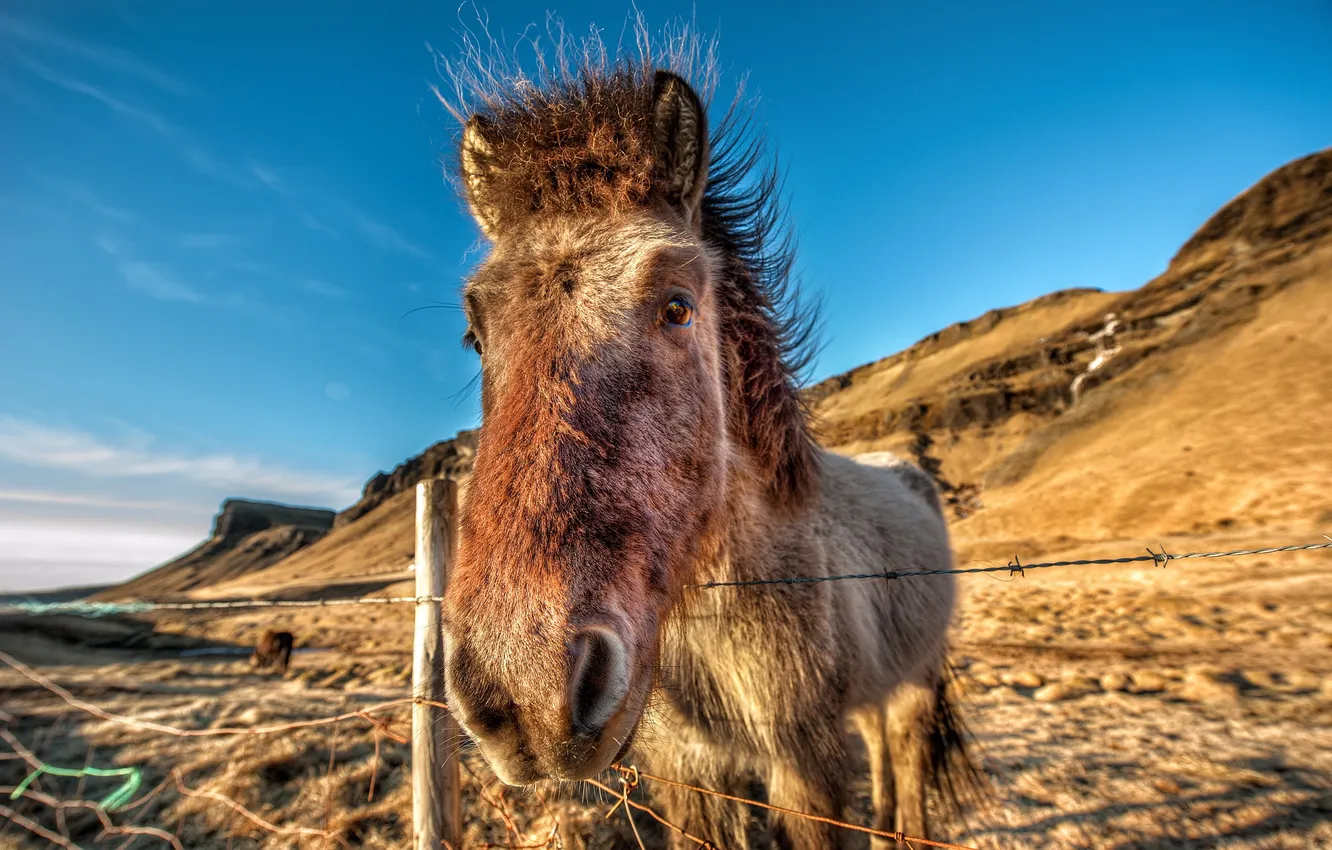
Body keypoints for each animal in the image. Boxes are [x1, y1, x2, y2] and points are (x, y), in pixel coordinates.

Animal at [436, 31, 980, 850]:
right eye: (474, 335)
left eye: (677, 307)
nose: (524, 692)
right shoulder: (692, 769)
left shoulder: (806, 769)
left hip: (914, 688)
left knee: (908, 768)